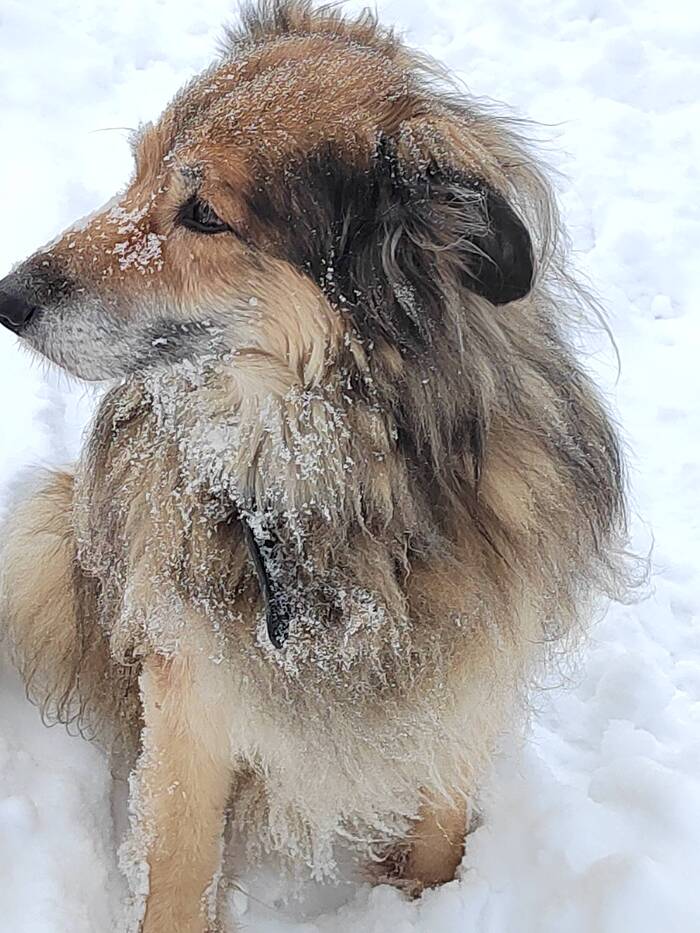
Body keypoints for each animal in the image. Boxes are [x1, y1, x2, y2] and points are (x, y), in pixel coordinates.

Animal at [0, 3, 628, 928]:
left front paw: (423, 897)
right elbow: (178, 856)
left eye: (204, 214)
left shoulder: (467, 674)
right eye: (138, 172)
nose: (7, 297)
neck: (340, 488)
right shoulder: (194, 685)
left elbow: (440, 825)